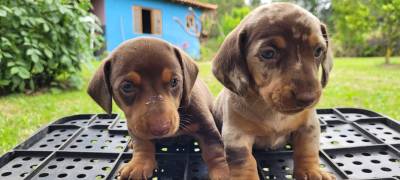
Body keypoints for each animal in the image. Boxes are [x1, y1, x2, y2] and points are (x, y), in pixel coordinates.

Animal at [89, 37, 230, 179]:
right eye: (127, 86)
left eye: (174, 81)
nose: (160, 129)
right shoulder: (134, 126)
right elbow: (142, 143)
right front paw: (139, 164)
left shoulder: (206, 127)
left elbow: (214, 150)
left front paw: (224, 171)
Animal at [212, 2, 334, 180]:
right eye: (268, 53)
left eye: (318, 51)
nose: (308, 98)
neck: (273, 111)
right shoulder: (236, 135)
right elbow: (244, 160)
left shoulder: (309, 125)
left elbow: (308, 148)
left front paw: (311, 171)